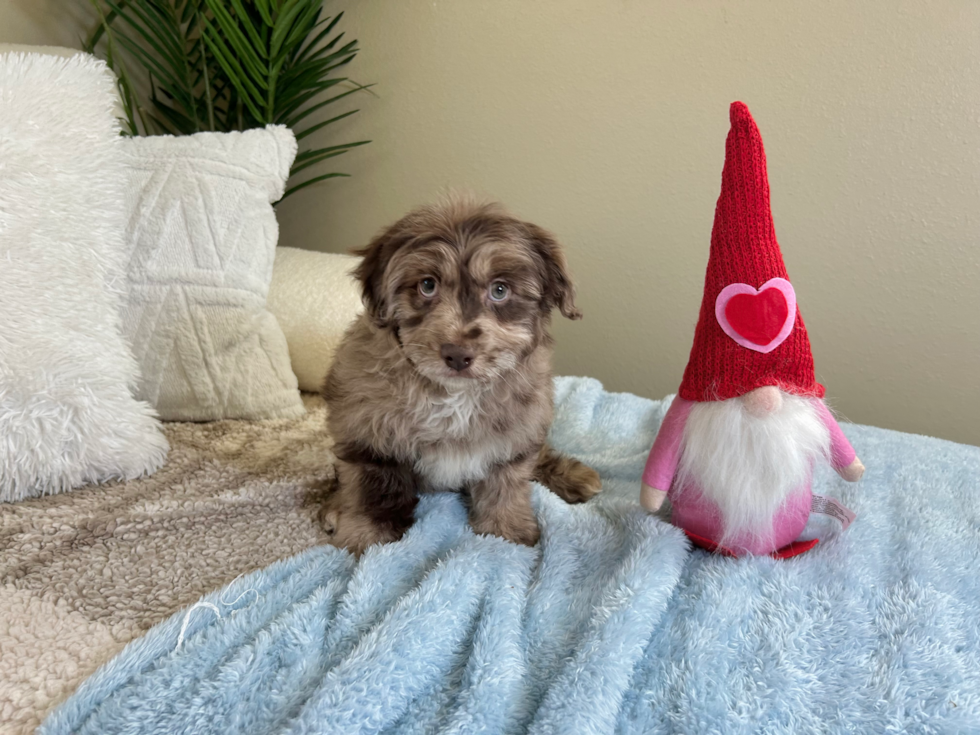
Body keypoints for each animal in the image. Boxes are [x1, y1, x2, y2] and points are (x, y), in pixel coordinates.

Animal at [320, 198, 604, 556]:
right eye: (428, 285)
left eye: (500, 290)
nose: (457, 355)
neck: (453, 394)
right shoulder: (368, 436)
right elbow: (372, 492)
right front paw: (365, 541)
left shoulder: (513, 432)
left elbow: (506, 485)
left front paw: (504, 534)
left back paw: (573, 475)